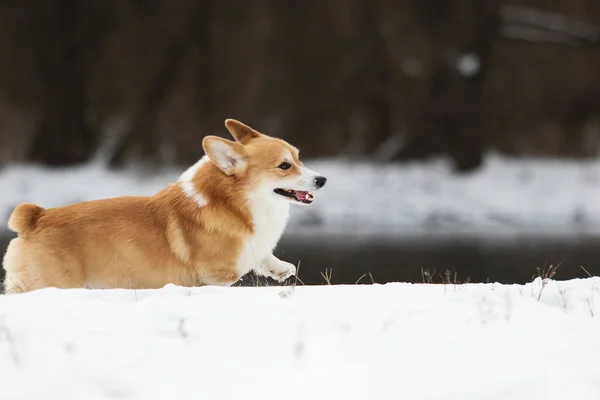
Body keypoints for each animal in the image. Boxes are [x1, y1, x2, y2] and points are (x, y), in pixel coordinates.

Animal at [1, 119, 328, 294]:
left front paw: (281, 269)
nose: (322, 179)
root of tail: (34, 218)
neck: (238, 202)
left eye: (298, 157)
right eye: (284, 166)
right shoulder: (217, 276)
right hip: (49, 283)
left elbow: (264, 255)